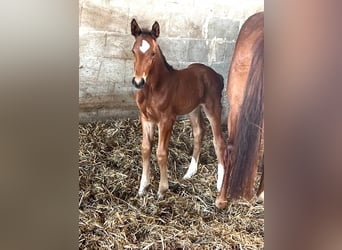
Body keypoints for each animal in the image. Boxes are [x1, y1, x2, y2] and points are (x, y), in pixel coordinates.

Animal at [131, 19, 227, 199]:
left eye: (153, 53)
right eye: (133, 51)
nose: (138, 82)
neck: (153, 89)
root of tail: (217, 75)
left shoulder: (167, 120)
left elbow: (161, 153)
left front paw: (162, 190)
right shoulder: (146, 118)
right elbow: (145, 148)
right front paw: (143, 187)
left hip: (213, 107)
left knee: (219, 141)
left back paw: (220, 184)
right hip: (193, 109)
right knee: (199, 133)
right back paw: (190, 172)